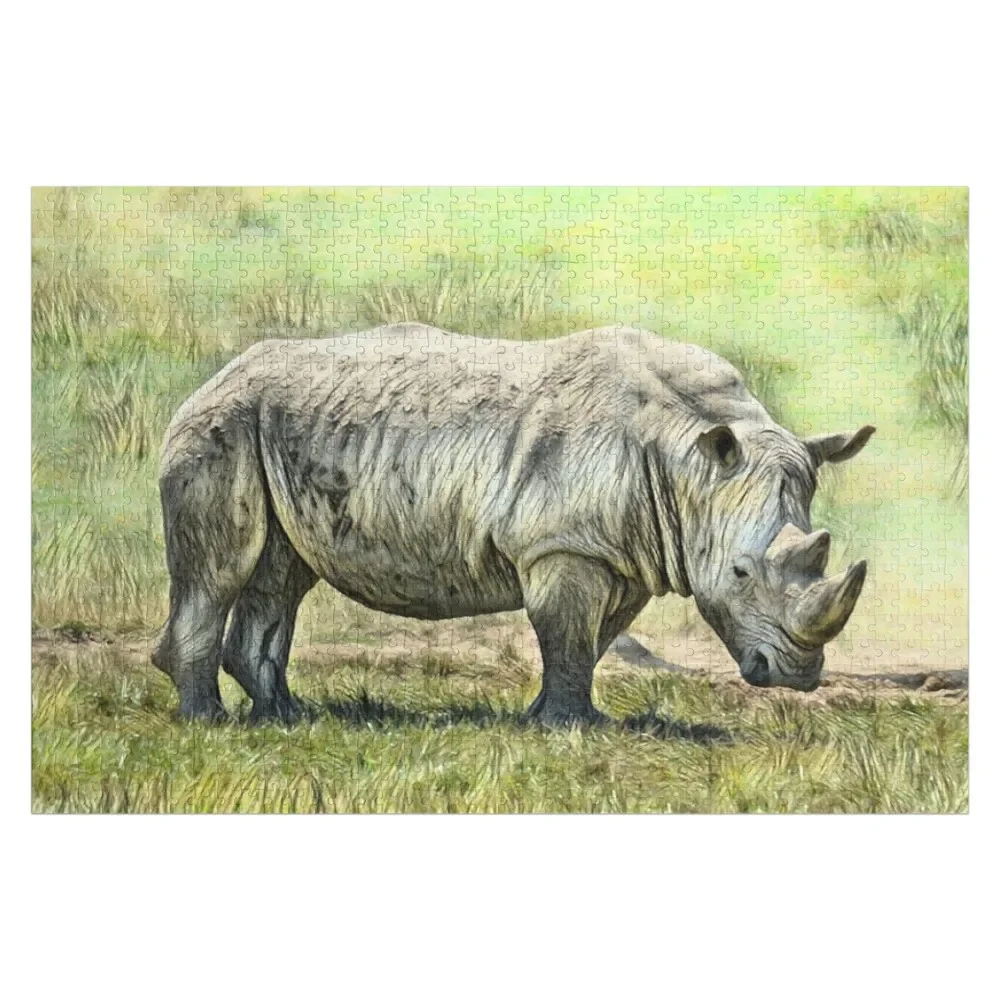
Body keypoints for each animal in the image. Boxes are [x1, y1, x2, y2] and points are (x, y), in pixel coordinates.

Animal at [152, 323, 874, 725]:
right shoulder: (561, 544)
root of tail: (211, 380)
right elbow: (568, 636)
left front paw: (550, 718)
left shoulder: (622, 551)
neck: (689, 459)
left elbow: (591, 641)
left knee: (280, 573)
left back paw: (287, 718)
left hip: (275, 428)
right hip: (221, 425)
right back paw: (210, 723)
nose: (796, 676)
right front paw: (571, 730)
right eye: (742, 572)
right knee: (220, 570)